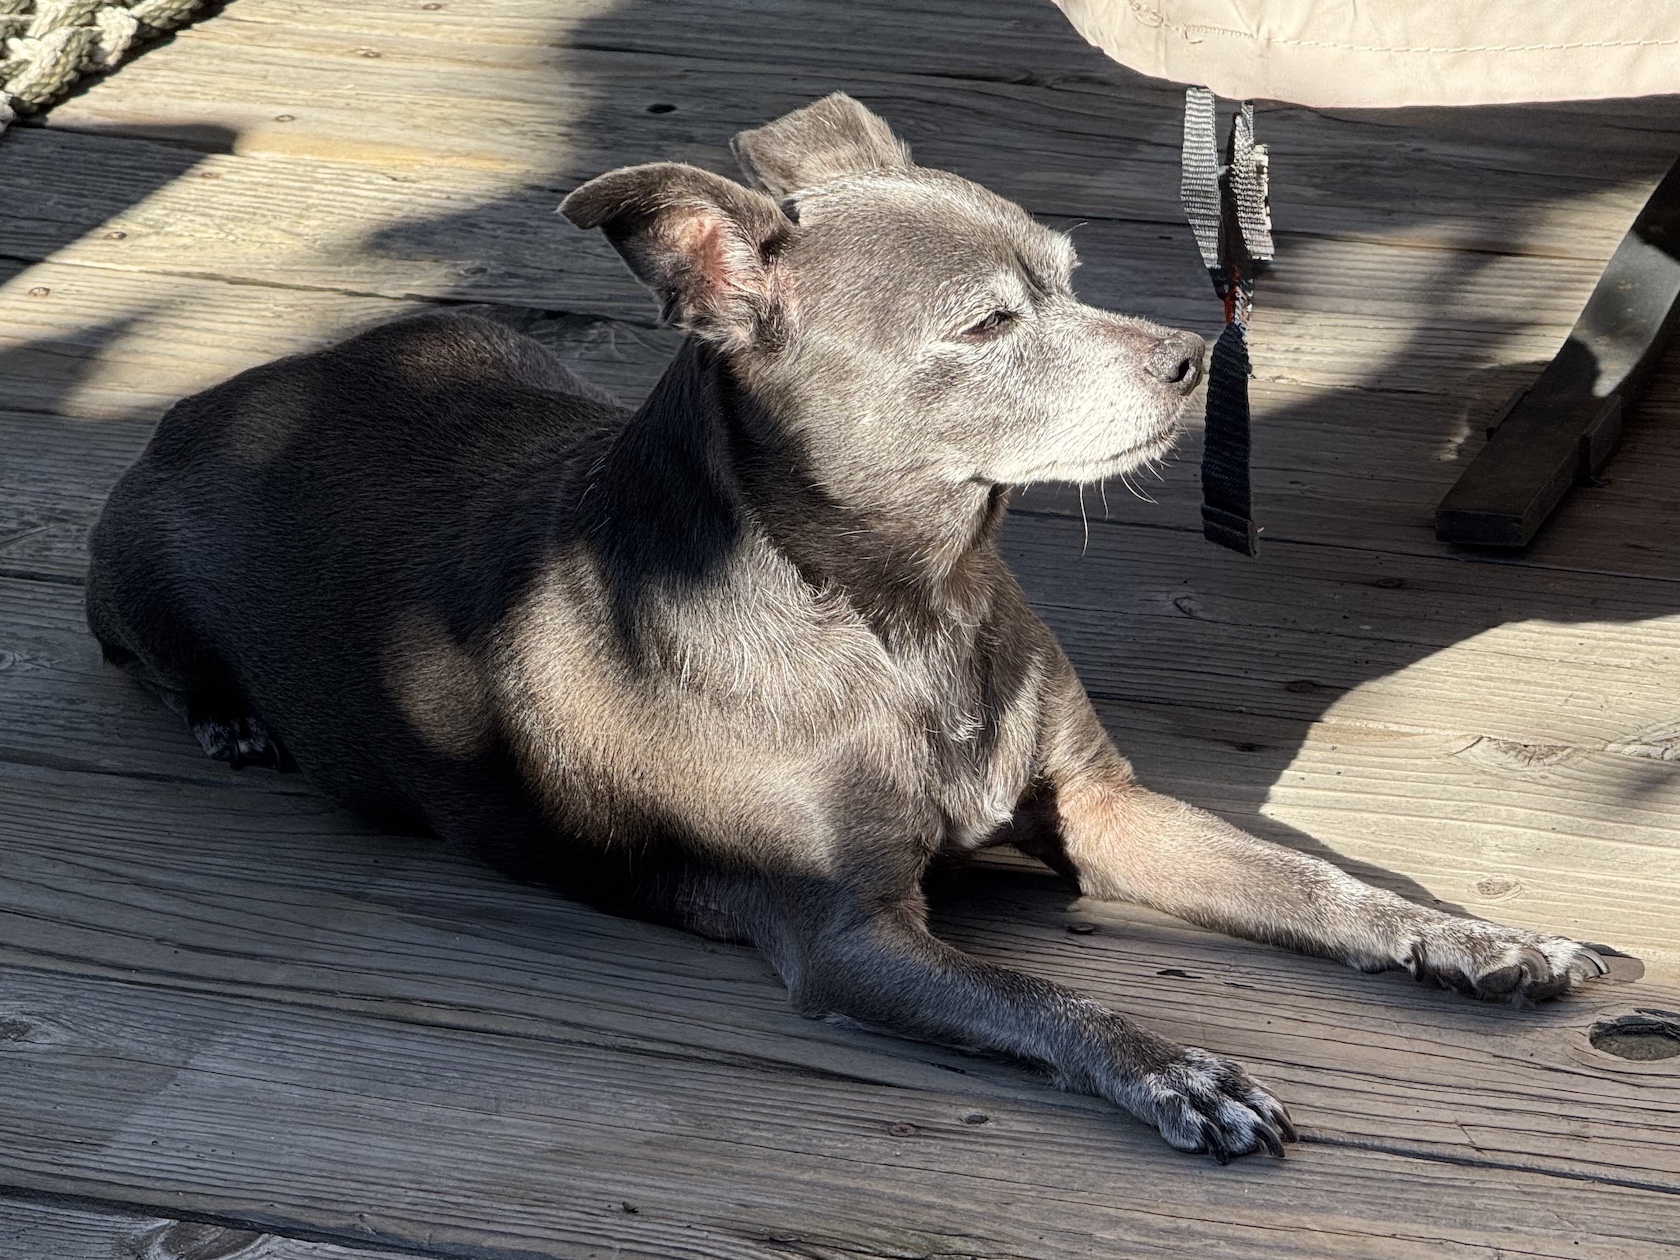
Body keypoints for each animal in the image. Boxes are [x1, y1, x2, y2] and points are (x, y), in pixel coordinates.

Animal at [84, 94, 1606, 1161]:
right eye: (989, 326)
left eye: (1070, 274)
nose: (1192, 357)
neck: (906, 608)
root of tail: (218, 401)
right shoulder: (848, 936)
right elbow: (1044, 1002)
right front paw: (1176, 1067)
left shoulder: (1106, 809)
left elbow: (1316, 885)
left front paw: (1473, 937)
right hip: (142, 578)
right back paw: (228, 721)